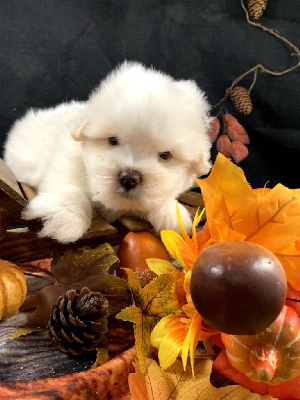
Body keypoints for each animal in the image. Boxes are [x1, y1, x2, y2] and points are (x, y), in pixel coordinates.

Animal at [3, 62, 212, 242]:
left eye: (165, 155)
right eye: (113, 141)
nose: (129, 179)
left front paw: (171, 214)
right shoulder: (64, 161)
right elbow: (70, 190)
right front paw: (66, 220)